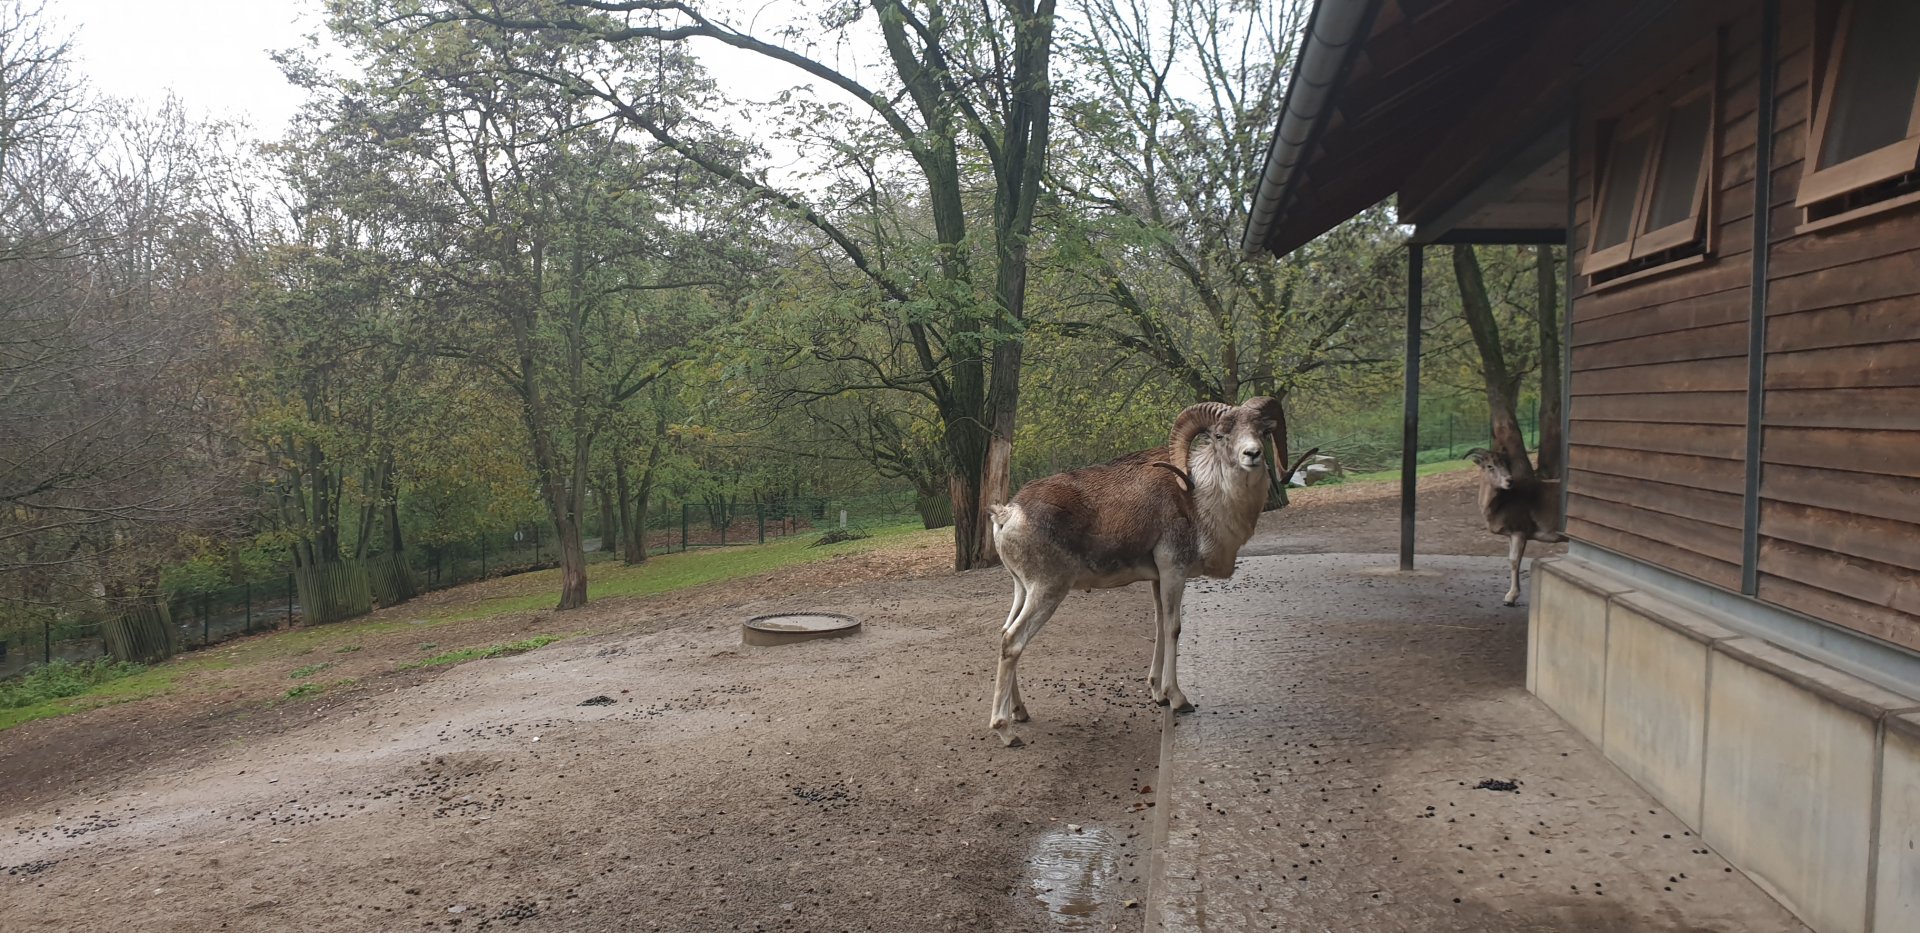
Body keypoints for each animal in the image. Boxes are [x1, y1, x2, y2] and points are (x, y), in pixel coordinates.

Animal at [985, 397, 1309, 747]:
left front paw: (1158, 693)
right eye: (1221, 435)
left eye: (1263, 432)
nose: (1252, 454)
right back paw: (1006, 731)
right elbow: (1173, 628)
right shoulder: (1173, 572)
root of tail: (1008, 514)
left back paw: (1020, 713)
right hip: (1047, 590)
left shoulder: (1157, 579)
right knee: (1013, 641)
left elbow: (1158, 627)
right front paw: (1178, 699)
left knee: (1004, 634)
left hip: (1023, 590)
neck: (1199, 499)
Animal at [1466, 447, 1566, 606]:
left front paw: (1510, 598)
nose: (1509, 481)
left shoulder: (1519, 533)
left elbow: (1514, 561)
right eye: (1490, 466)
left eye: (1507, 464)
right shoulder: (1511, 536)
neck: (1503, 502)